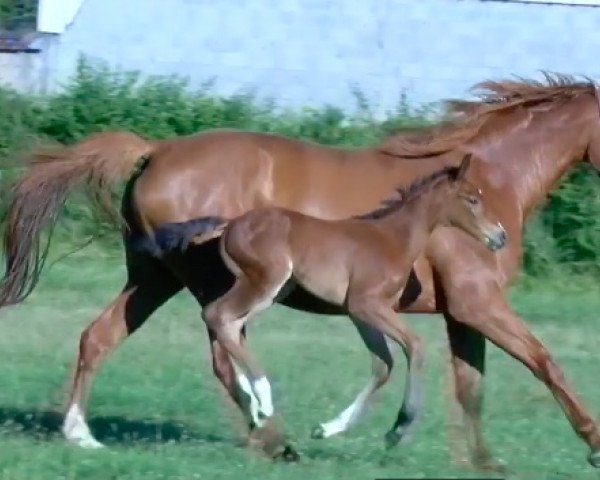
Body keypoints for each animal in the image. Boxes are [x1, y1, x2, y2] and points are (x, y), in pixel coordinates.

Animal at [197, 156, 506, 444]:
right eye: (473, 199)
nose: (501, 236)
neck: (394, 238)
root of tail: (230, 226)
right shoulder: (366, 304)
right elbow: (415, 345)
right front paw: (398, 428)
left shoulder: (358, 313)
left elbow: (383, 365)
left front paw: (326, 429)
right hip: (265, 280)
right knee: (217, 314)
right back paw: (263, 400)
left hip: (274, 290)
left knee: (229, 324)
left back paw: (254, 406)